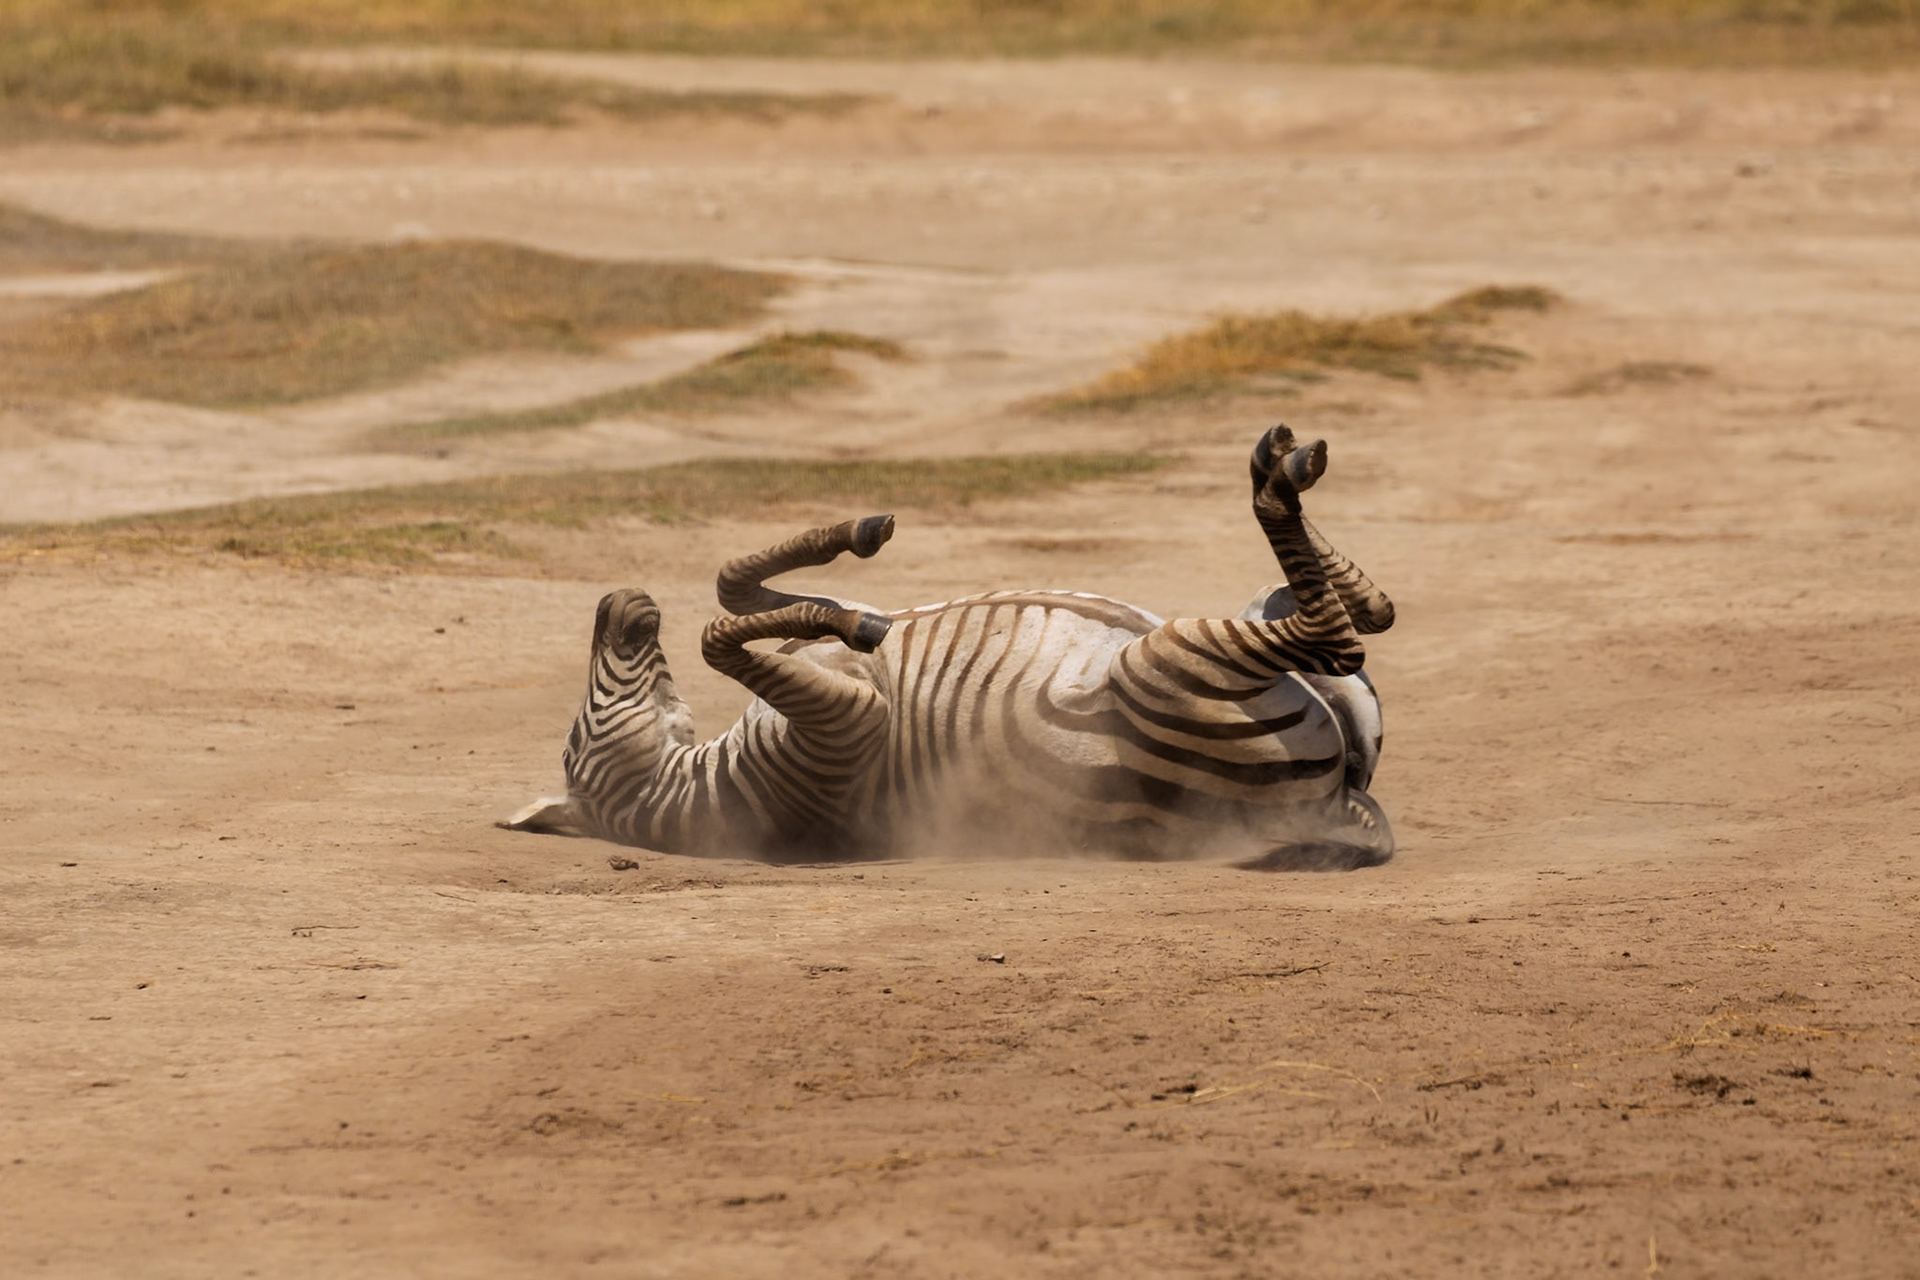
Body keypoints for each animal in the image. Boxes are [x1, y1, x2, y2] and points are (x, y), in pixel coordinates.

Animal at [505, 424, 1396, 870]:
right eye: (579, 732)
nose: (618, 601)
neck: (704, 784)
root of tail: (1335, 806)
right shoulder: (848, 729)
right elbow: (719, 630)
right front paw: (852, 622)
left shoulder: (835, 687)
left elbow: (731, 591)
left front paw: (849, 566)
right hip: (1166, 666)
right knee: (1336, 635)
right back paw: (1278, 477)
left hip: (1284, 671)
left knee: (1368, 619)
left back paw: (1278, 464)